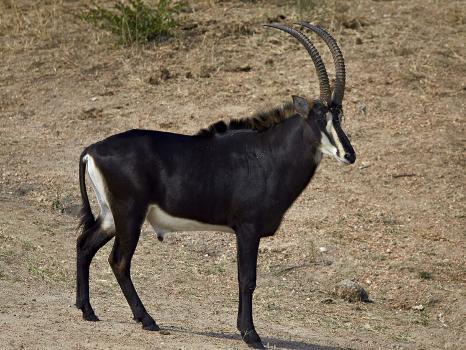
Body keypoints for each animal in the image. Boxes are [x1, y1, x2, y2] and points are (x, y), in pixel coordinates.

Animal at [75, 22, 356, 350]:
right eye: (318, 118)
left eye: (339, 116)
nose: (349, 155)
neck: (267, 154)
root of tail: (92, 149)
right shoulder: (247, 229)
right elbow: (247, 279)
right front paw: (251, 335)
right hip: (130, 214)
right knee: (118, 261)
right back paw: (147, 319)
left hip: (111, 215)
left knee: (85, 244)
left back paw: (87, 310)